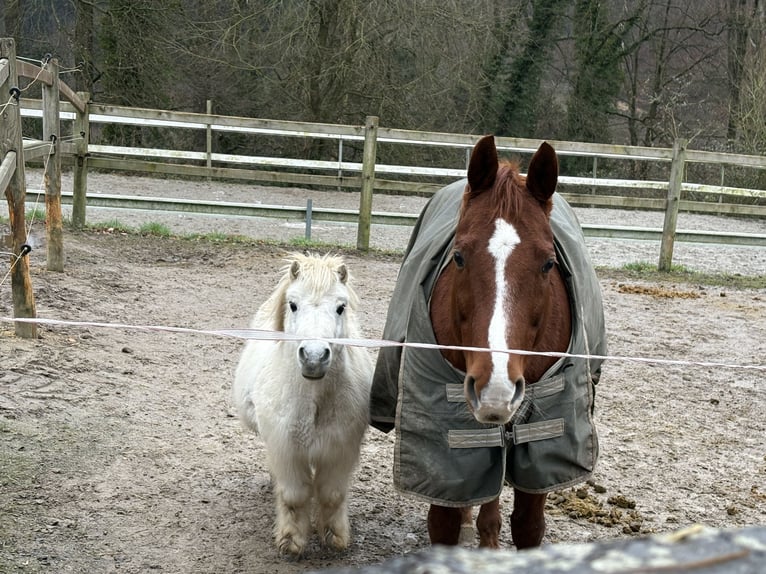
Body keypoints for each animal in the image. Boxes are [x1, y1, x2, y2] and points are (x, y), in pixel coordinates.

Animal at [232, 252, 373, 556]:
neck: (314, 402)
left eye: (341, 307)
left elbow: (331, 494)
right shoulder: (286, 449)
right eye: (293, 304)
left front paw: (334, 536)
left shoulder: (340, 450)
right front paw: (291, 540)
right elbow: (295, 496)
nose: (314, 357)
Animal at [370, 135, 605, 550]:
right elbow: (445, 523)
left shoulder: (544, 446)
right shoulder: (447, 452)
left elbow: (528, 526)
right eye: (459, 257)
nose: (495, 389)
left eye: (548, 263)